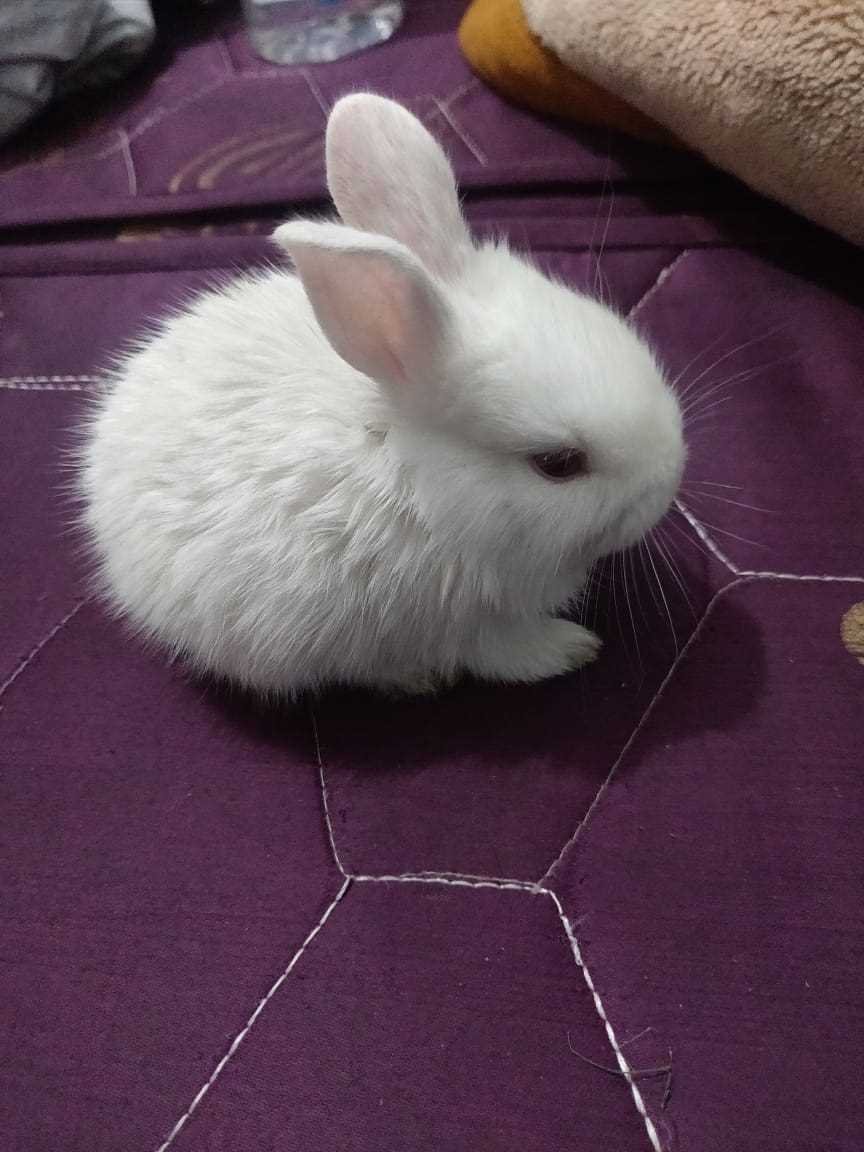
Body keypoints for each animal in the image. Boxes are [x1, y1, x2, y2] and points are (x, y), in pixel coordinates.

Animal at [80, 93, 685, 697]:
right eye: (558, 463)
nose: (668, 481)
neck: (416, 481)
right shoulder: (470, 624)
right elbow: (509, 654)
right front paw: (572, 649)